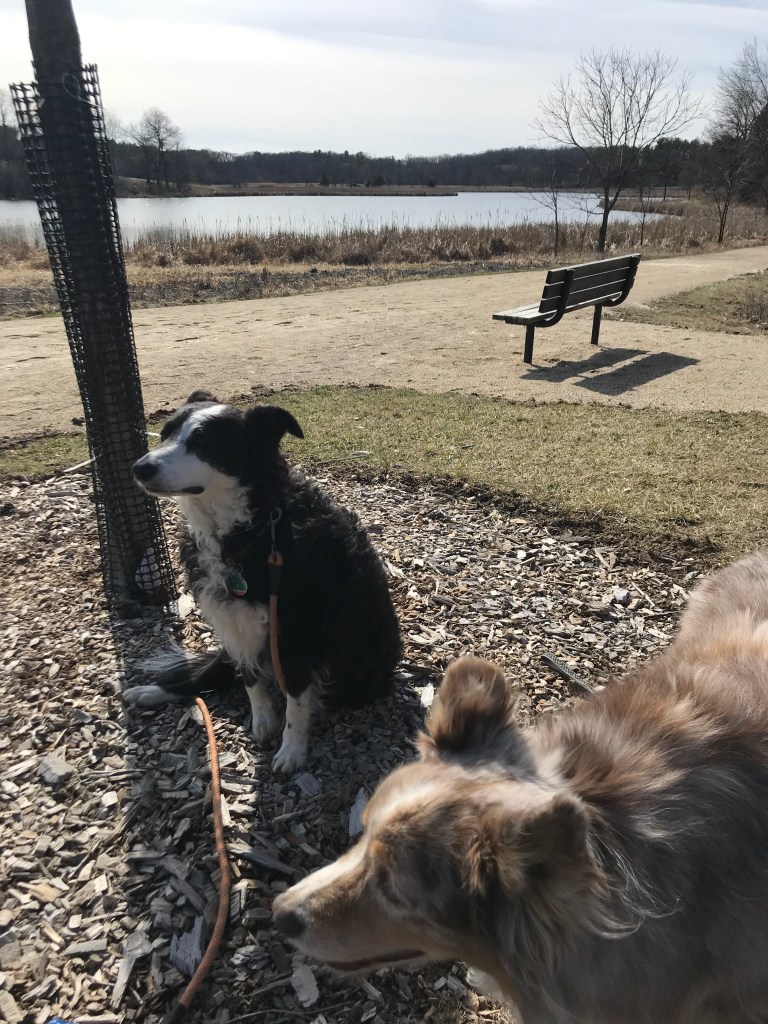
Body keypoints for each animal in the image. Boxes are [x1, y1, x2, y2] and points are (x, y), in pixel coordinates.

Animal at [124, 391, 402, 773]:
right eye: (165, 433)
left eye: (204, 443)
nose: (140, 468)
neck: (252, 528)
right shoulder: (232, 625)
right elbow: (250, 679)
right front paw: (263, 721)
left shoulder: (296, 633)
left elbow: (296, 698)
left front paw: (292, 749)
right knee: (209, 674)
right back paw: (152, 692)